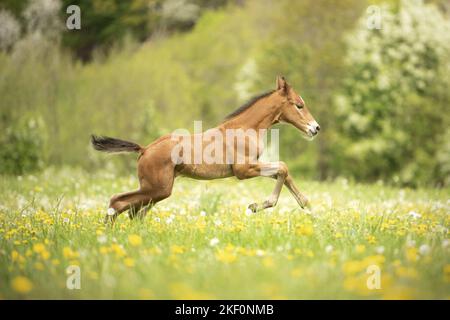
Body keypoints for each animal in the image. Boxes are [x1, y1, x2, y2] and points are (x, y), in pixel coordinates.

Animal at [91, 76, 318, 224]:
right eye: (299, 105)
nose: (315, 128)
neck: (245, 128)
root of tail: (145, 149)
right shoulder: (243, 170)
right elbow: (283, 167)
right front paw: (256, 206)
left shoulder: (253, 167)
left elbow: (283, 172)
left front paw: (307, 206)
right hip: (157, 189)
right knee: (118, 202)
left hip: (156, 190)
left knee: (134, 212)